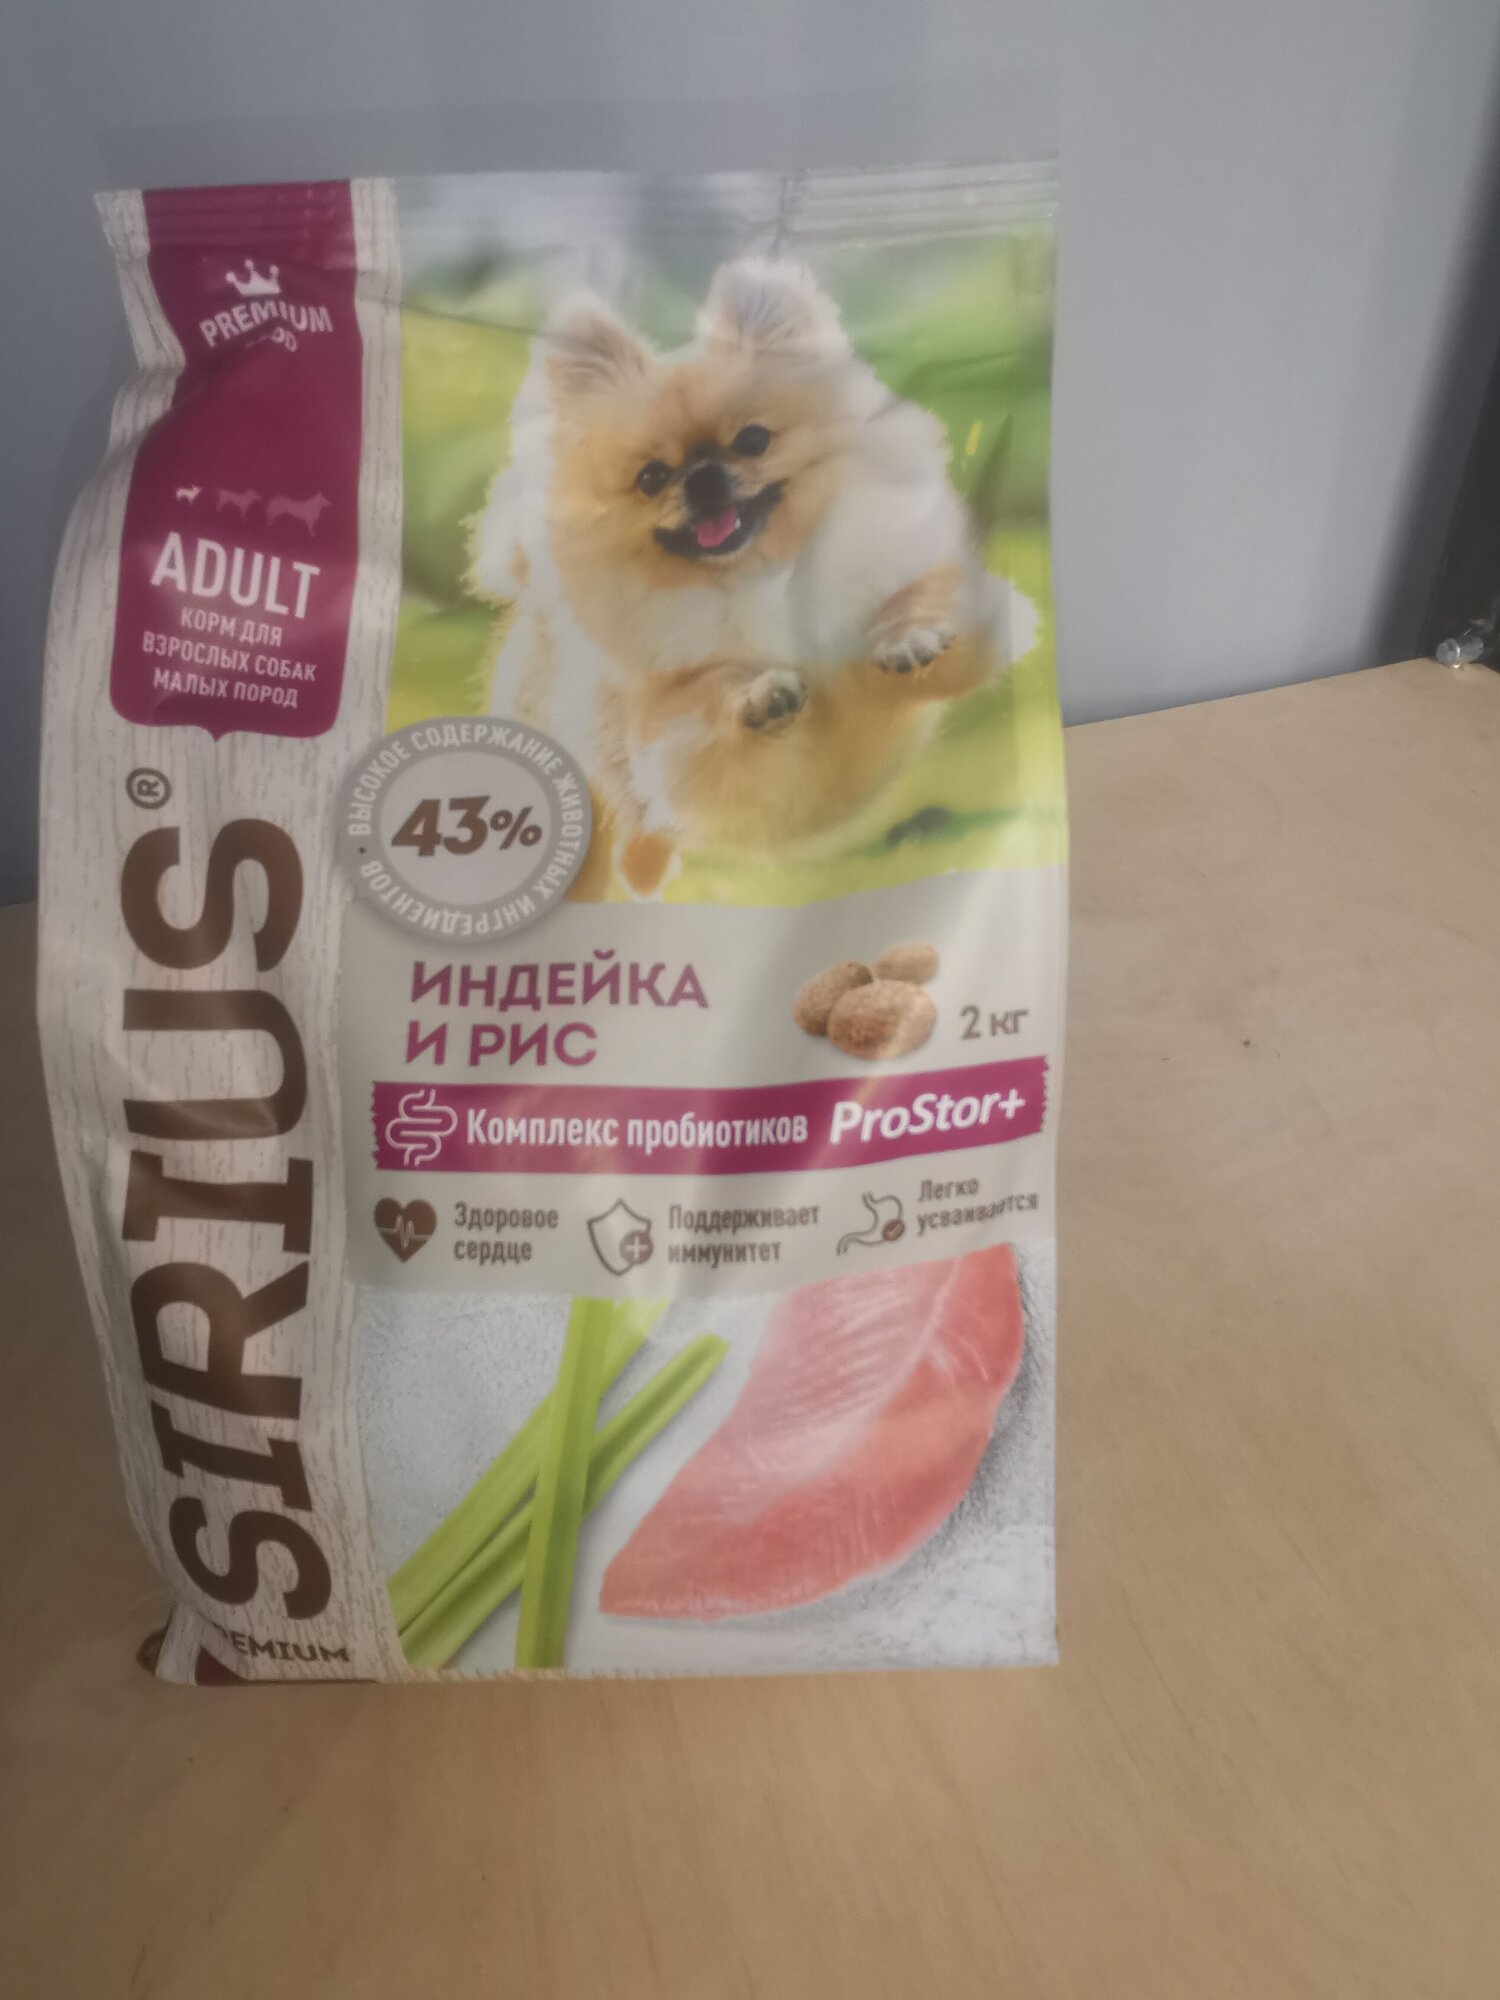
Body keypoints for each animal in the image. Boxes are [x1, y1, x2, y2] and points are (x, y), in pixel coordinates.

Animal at [472, 259, 1037, 895]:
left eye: (753, 440)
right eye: (651, 477)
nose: (702, 478)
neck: (761, 576)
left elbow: (927, 597)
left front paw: (909, 636)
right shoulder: (687, 753)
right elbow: (711, 706)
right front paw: (759, 696)